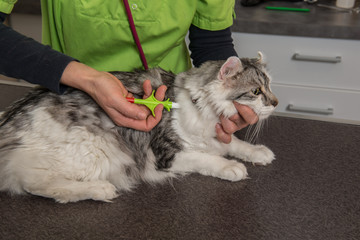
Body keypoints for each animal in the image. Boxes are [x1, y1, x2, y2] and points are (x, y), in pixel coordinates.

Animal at [0, 52, 278, 202]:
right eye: (256, 91)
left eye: (270, 85)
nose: (275, 103)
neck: (205, 112)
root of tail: (10, 119)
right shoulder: (167, 154)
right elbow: (208, 159)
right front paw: (231, 167)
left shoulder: (216, 137)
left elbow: (236, 144)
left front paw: (258, 152)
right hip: (95, 149)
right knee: (36, 183)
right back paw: (100, 189)